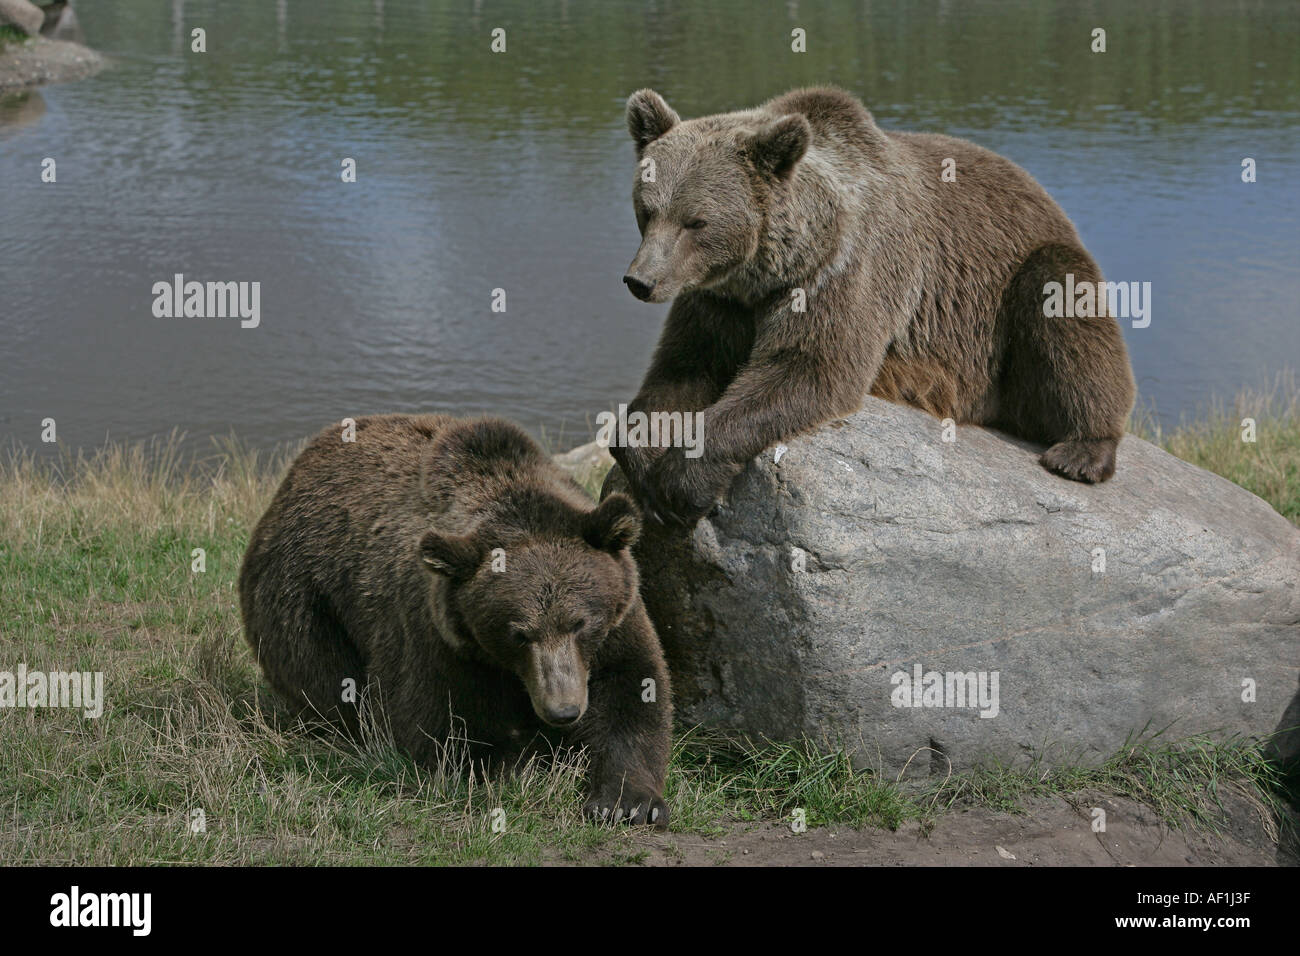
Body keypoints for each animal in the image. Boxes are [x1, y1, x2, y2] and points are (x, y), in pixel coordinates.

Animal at [238, 414, 673, 827]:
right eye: (519, 635)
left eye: (580, 623)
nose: (562, 710)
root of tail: (295, 473)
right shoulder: (435, 636)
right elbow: (436, 726)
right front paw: (523, 759)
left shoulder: (616, 623)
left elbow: (632, 692)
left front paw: (628, 803)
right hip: (304, 598)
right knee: (324, 678)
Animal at [612, 86, 1136, 526]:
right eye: (647, 210)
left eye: (695, 221)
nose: (641, 281)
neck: (768, 272)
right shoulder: (719, 301)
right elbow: (683, 368)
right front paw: (644, 451)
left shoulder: (844, 272)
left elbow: (808, 368)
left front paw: (680, 482)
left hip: (1013, 292)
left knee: (1064, 306)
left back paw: (1081, 452)